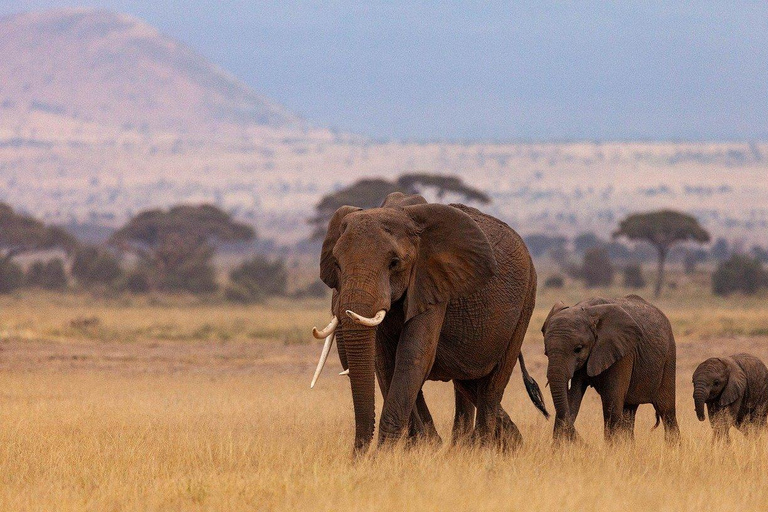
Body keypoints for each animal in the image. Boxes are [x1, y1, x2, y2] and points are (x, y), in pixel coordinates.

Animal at [308, 192, 544, 452]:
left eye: (394, 263)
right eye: (337, 264)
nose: (358, 455)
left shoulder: (433, 283)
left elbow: (413, 355)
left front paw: (387, 453)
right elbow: (385, 362)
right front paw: (419, 447)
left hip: (526, 301)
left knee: (493, 384)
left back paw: (481, 448)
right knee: (468, 381)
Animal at [540, 296, 680, 444]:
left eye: (578, 349)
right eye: (546, 352)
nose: (585, 443)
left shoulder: (622, 352)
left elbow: (611, 403)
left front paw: (612, 448)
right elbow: (572, 399)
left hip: (669, 356)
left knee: (666, 410)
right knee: (629, 411)